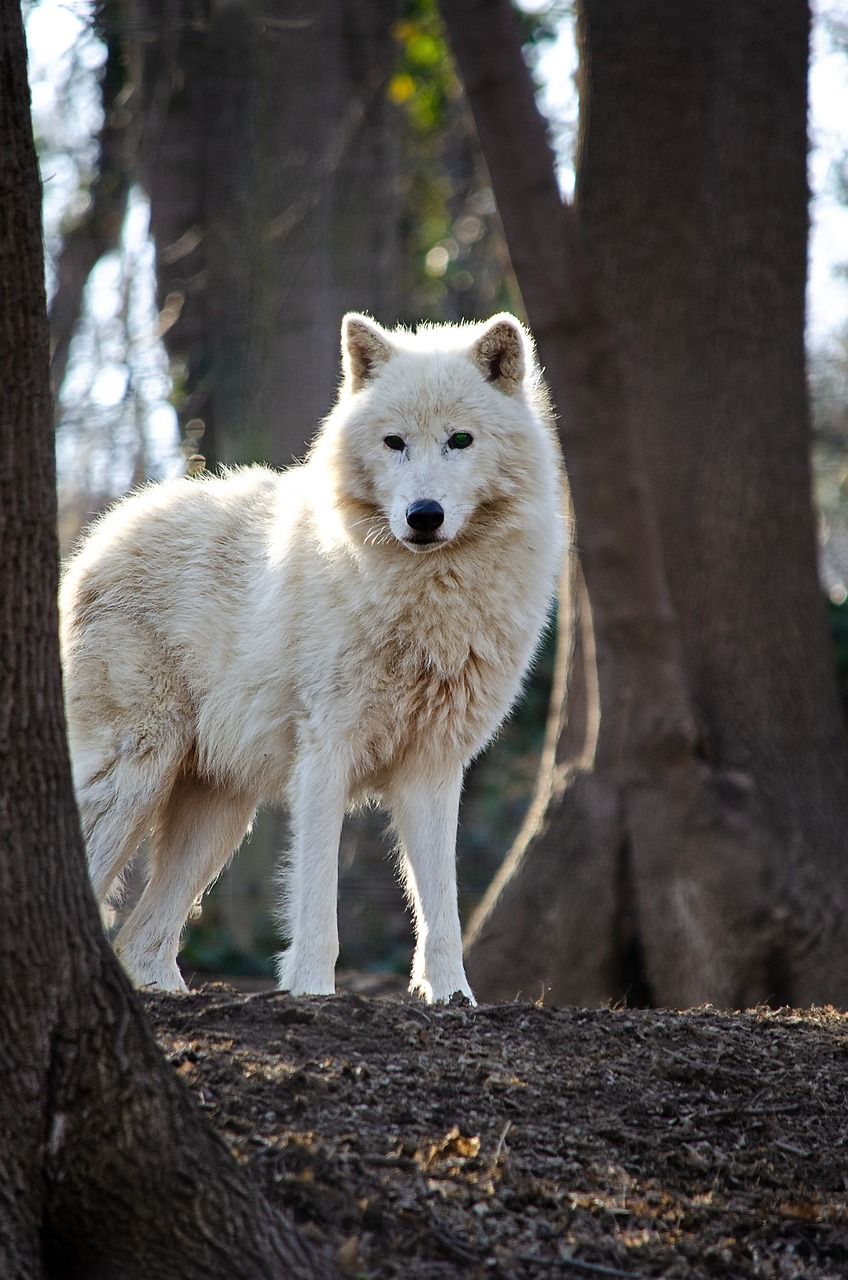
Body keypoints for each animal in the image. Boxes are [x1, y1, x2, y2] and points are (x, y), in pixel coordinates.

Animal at [60, 313, 564, 1003]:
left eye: (460, 440)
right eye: (394, 442)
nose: (424, 515)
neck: (428, 598)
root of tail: (101, 533)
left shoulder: (433, 766)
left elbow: (443, 907)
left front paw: (453, 998)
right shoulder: (327, 753)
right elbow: (317, 901)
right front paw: (311, 993)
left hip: (218, 814)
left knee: (142, 939)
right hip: (135, 775)